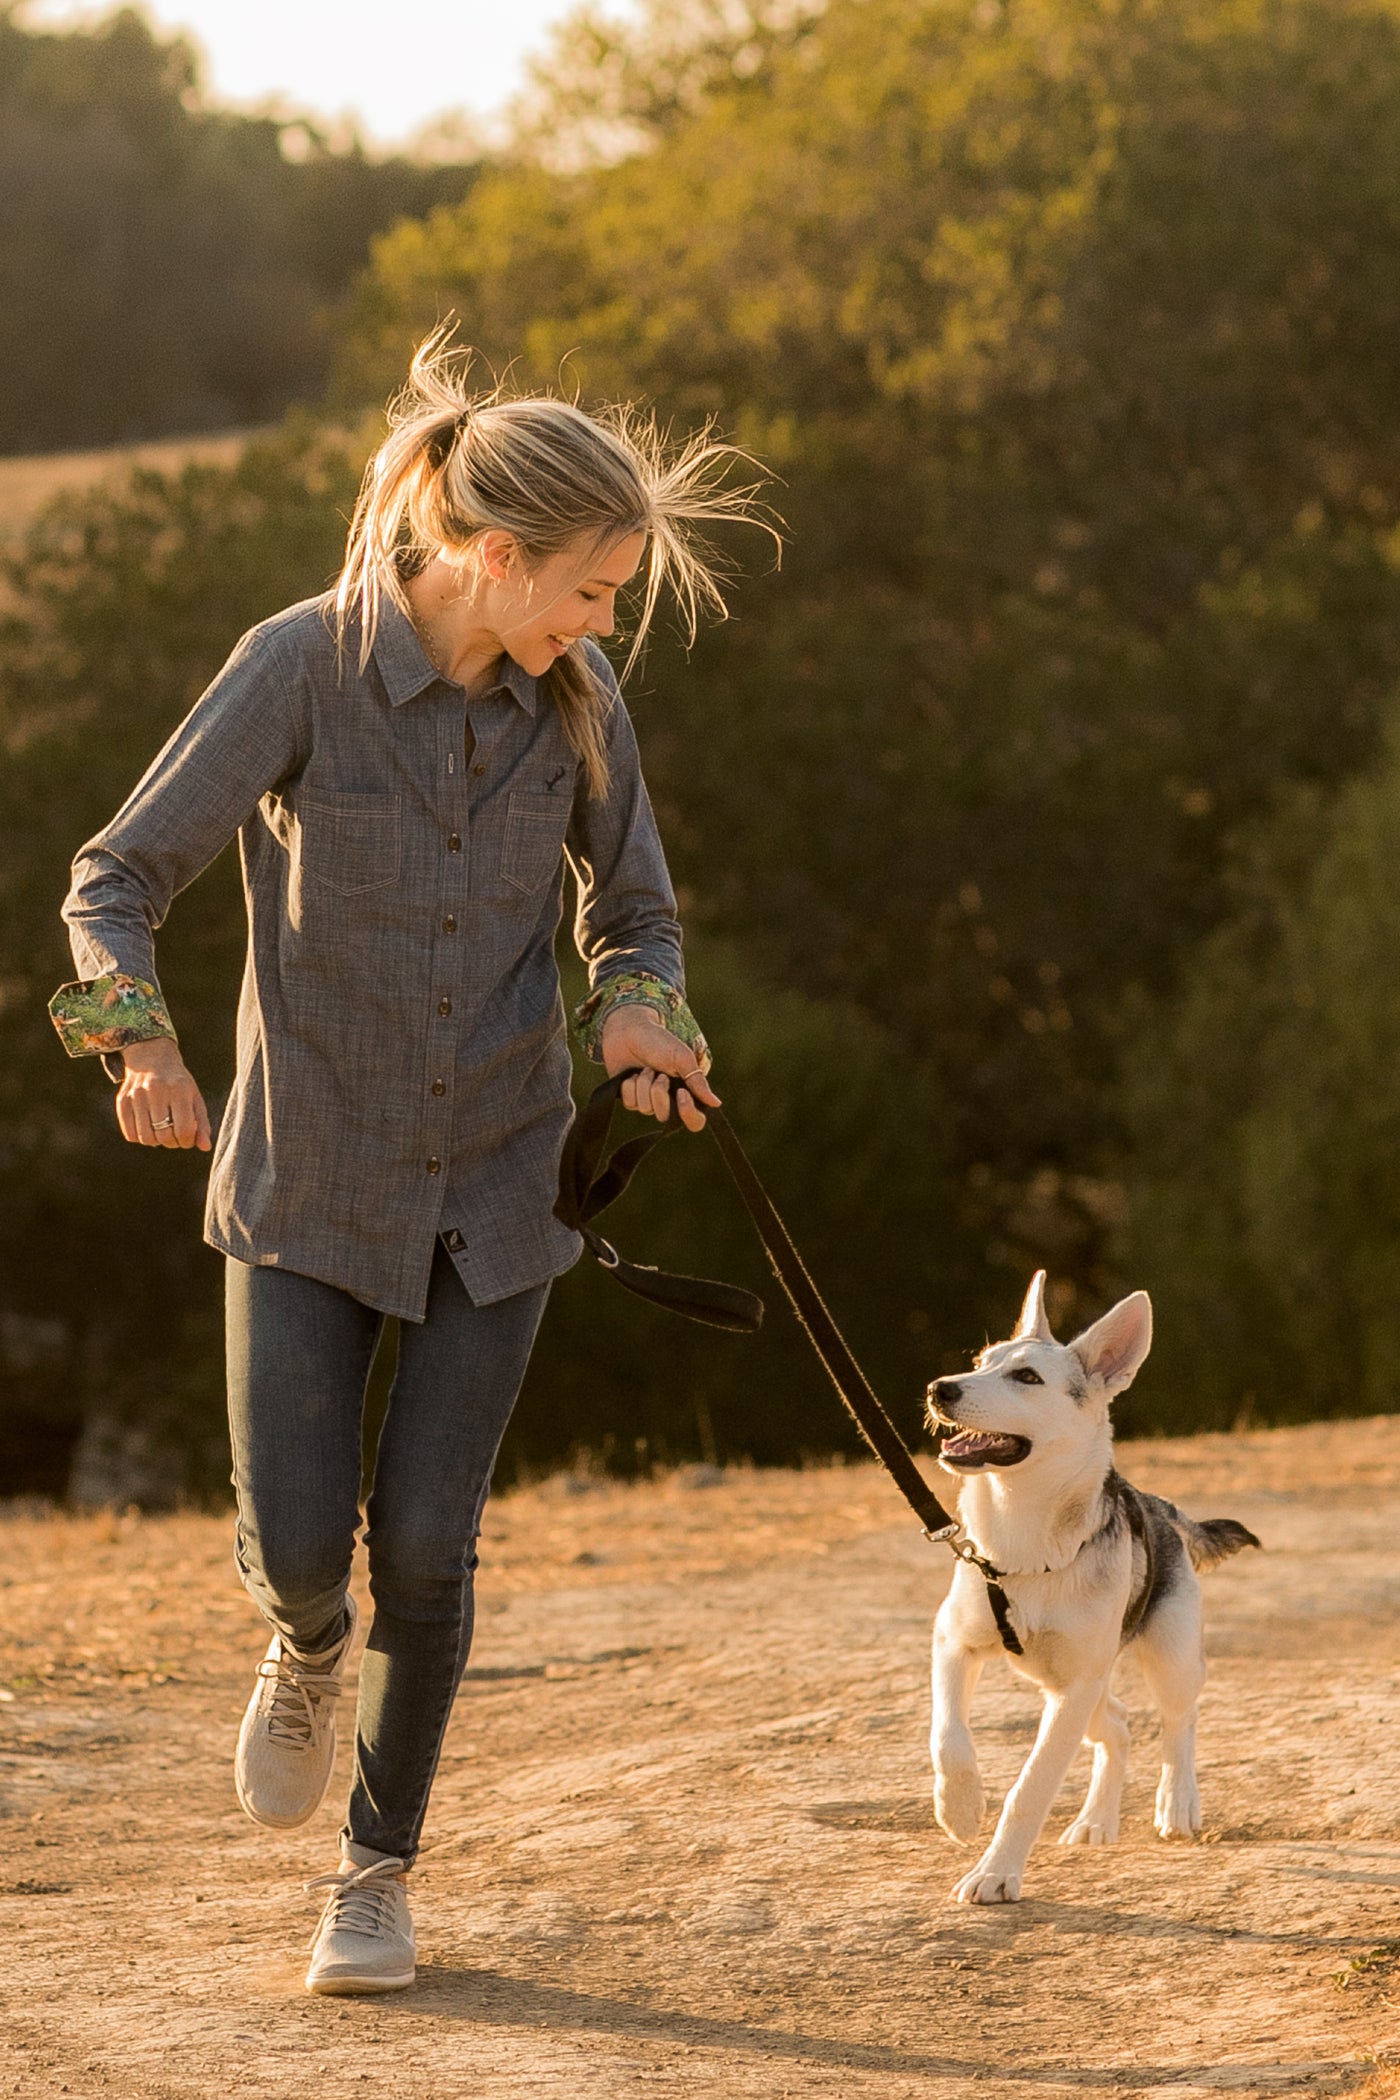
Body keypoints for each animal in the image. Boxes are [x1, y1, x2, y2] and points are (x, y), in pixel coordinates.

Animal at [931, 1268, 1259, 1915]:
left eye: (1027, 1377)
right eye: (981, 1362)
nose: (939, 1389)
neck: (1023, 1546)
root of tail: (1161, 1507)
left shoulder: (1074, 1688)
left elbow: (1030, 1788)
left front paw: (996, 1873)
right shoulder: (954, 1643)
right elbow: (948, 1737)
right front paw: (959, 1808)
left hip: (1163, 1662)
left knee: (1179, 1721)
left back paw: (1176, 1803)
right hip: (1062, 1685)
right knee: (1121, 1725)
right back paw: (1096, 1820)